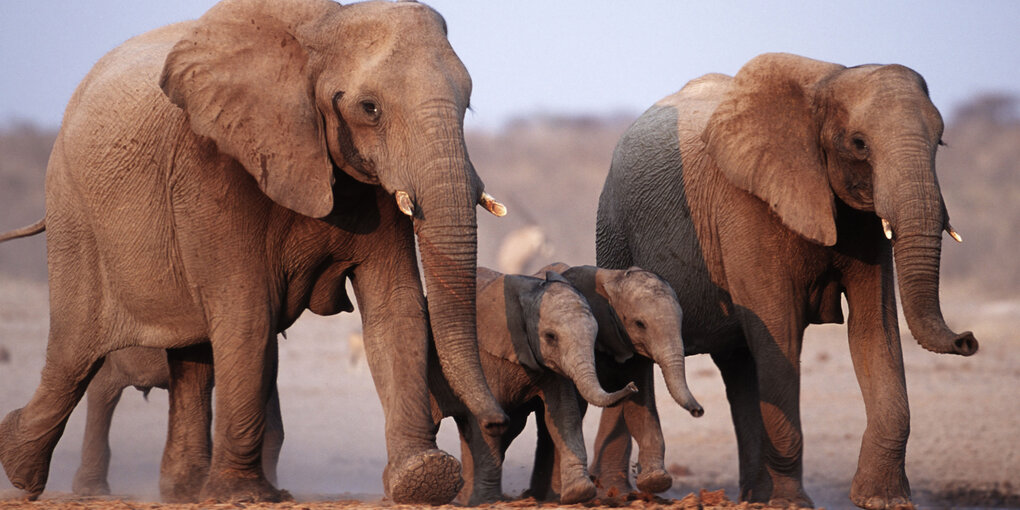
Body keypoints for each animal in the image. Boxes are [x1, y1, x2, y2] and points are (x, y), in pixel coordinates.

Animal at [428, 267, 636, 505]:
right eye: (550, 337)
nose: (632, 386)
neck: (530, 292)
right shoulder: (485, 357)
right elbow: (487, 425)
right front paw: (488, 501)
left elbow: (564, 413)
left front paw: (579, 493)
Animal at [522, 265, 705, 499]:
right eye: (640, 324)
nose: (698, 411)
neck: (613, 278)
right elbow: (574, 410)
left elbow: (641, 405)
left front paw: (656, 481)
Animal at [595, 53, 979, 507]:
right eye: (859, 144)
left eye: (941, 143)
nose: (968, 340)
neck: (826, 84)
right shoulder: (744, 205)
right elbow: (779, 333)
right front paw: (794, 503)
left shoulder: (863, 224)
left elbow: (874, 329)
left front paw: (886, 501)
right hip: (613, 232)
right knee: (630, 360)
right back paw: (618, 493)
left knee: (739, 366)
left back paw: (753, 497)